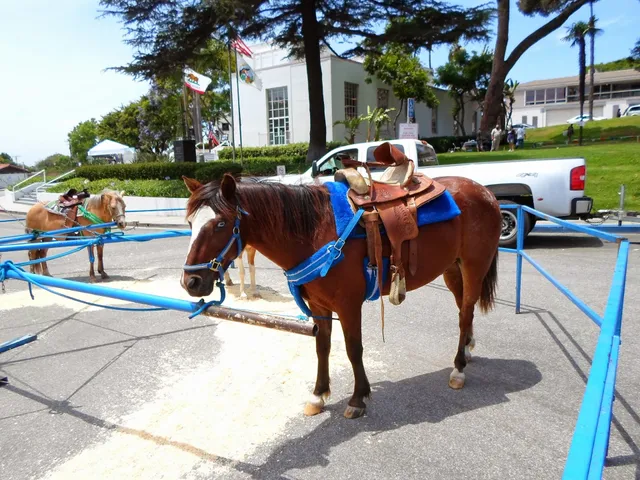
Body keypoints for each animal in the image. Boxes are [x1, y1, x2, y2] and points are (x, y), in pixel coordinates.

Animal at [180, 165, 502, 419]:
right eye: (189, 223)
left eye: (221, 223)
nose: (190, 281)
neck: (315, 232)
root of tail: (485, 192)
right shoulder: (319, 306)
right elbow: (322, 347)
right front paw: (318, 395)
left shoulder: (348, 305)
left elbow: (352, 349)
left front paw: (358, 399)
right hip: (452, 270)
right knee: (463, 311)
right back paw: (467, 349)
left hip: (473, 268)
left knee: (466, 312)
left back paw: (458, 369)